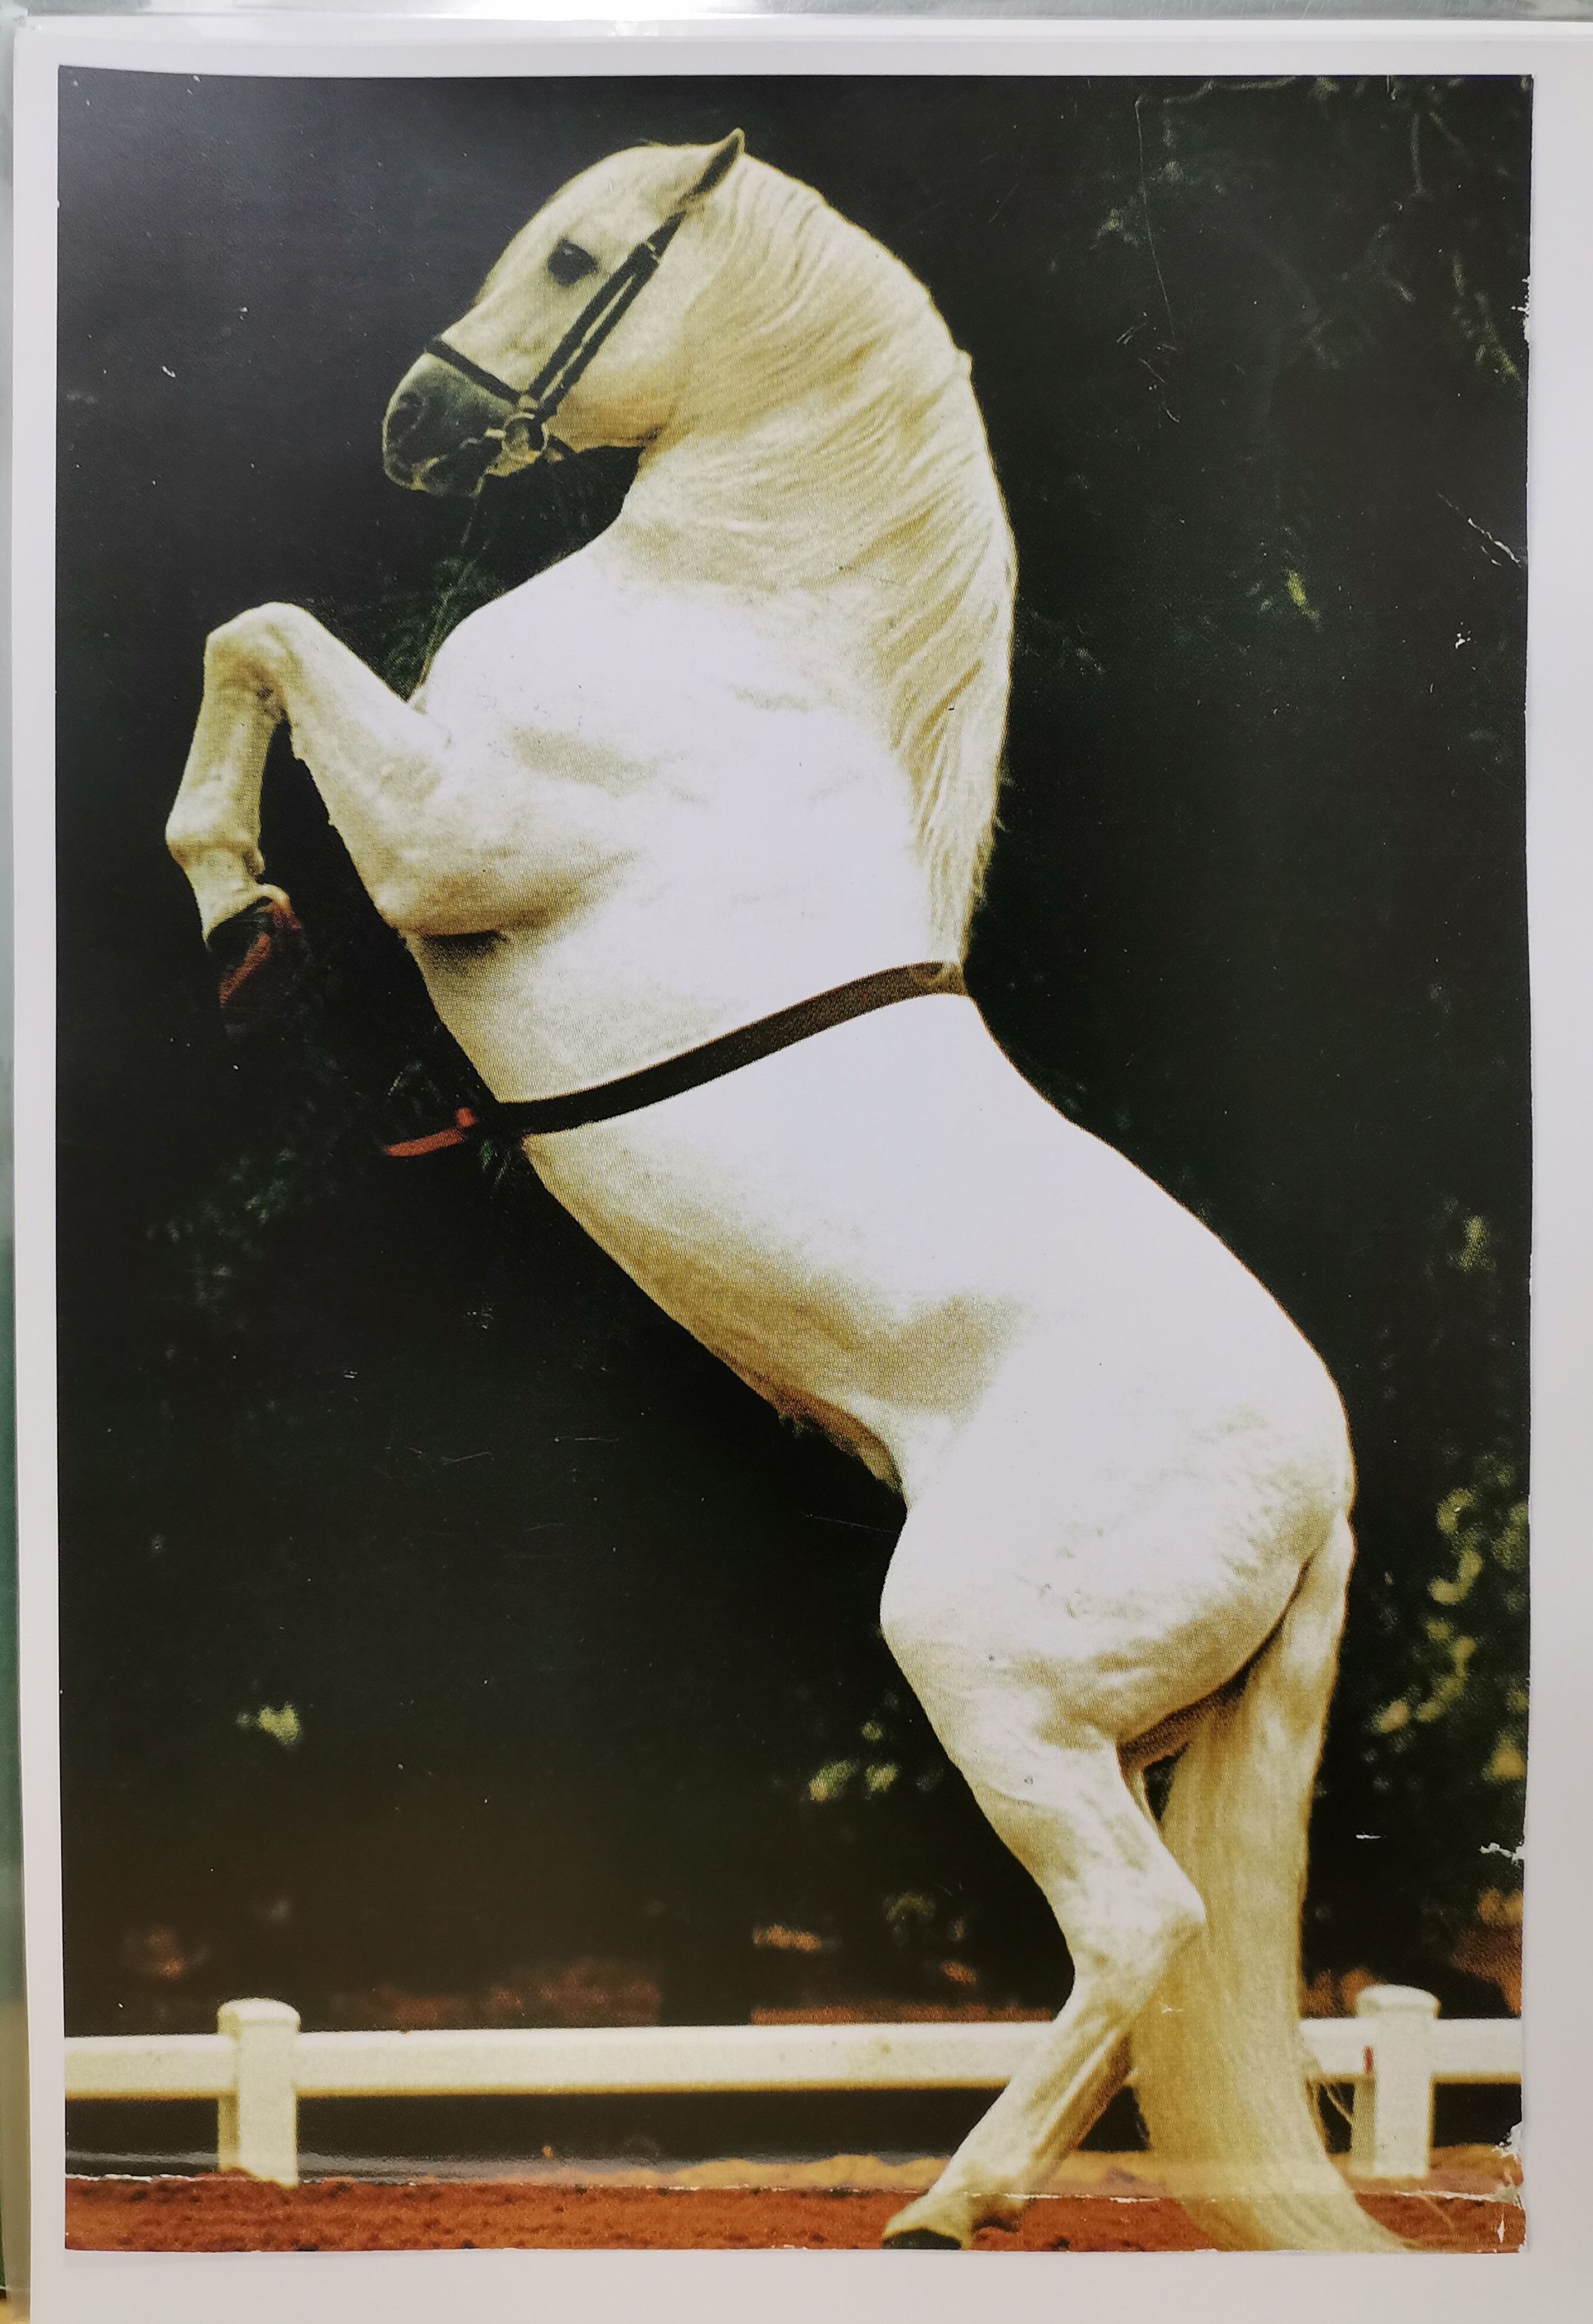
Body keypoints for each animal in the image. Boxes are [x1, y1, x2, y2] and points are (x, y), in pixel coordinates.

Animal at [165, 132, 1396, 2252]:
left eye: (576, 256)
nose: (416, 427)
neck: (724, 634)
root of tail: (1315, 1477)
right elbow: (255, 639)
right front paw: (241, 921)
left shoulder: (444, 837)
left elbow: (265, 633)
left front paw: (231, 901)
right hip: (1114, 1728)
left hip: (994, 1683)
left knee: (1136, 1927)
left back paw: (948, 2205)